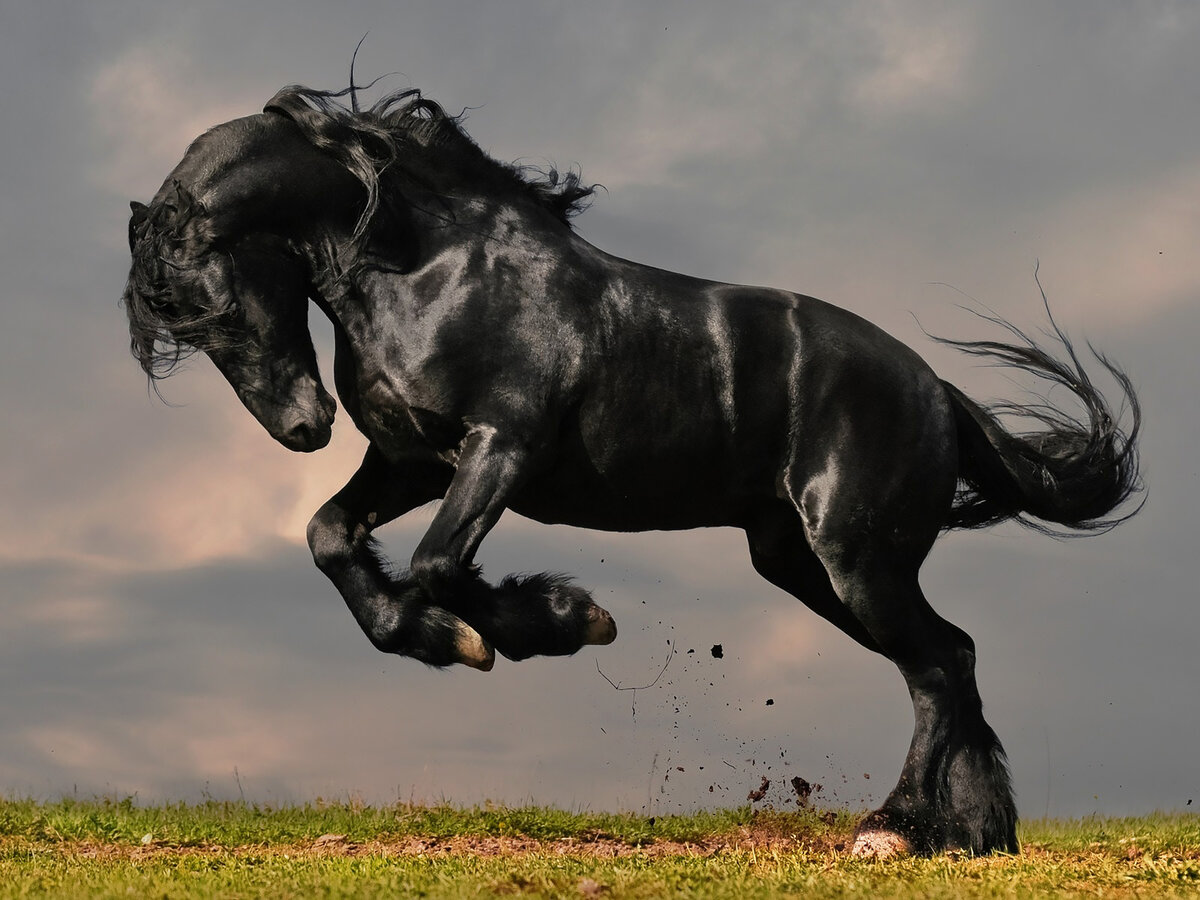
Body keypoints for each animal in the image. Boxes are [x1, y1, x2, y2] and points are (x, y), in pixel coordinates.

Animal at [124, 84, 1142, 859]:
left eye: (215, 304)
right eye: (182, 326)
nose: (302, 428)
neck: (430, 269)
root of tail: (936, 391)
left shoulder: (501, 448)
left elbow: (439, 564)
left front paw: (558, 622)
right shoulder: (412, 459)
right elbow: (331, 537)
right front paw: (442, 638)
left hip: (858, 559)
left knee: (937, 664)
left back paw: (893, 830)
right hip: (802, 564)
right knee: (951, 658)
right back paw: (971, 834)